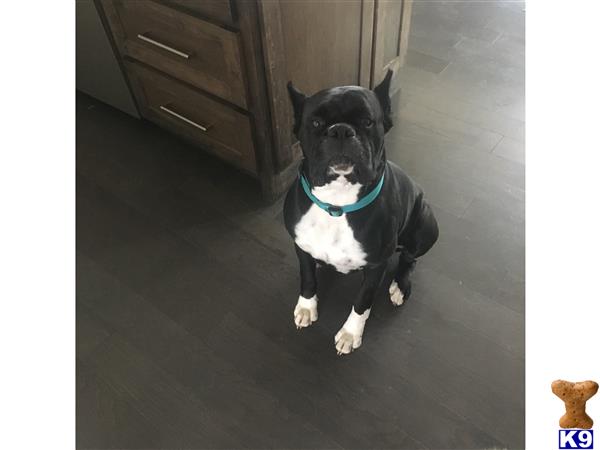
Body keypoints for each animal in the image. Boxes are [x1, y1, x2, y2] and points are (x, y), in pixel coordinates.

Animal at [284, 71, 438, 356]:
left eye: (367, 122)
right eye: (316, 122)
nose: (341, 130)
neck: (337, 204)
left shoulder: (376, 267)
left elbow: (362, 302)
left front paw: (350, 333)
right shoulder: (301, 246)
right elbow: (307, 277)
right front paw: (307, 306)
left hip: (425, 226)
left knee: (410, 259)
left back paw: (400, 286)